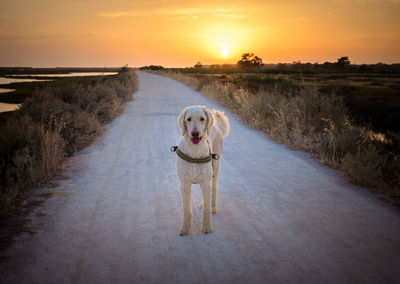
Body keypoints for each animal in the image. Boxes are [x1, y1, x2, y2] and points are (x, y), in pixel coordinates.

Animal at [173, 105, 230, 235]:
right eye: (188, 119)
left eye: (202, 119)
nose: (195, 133)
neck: (195, 151)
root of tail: (216, 126)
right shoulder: (184, 184)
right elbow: (186, 209)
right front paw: (185, 228)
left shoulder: (206, 182)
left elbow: (207, 210)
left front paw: (207, 227)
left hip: (214, 170)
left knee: (213, 191)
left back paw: (212, 207)